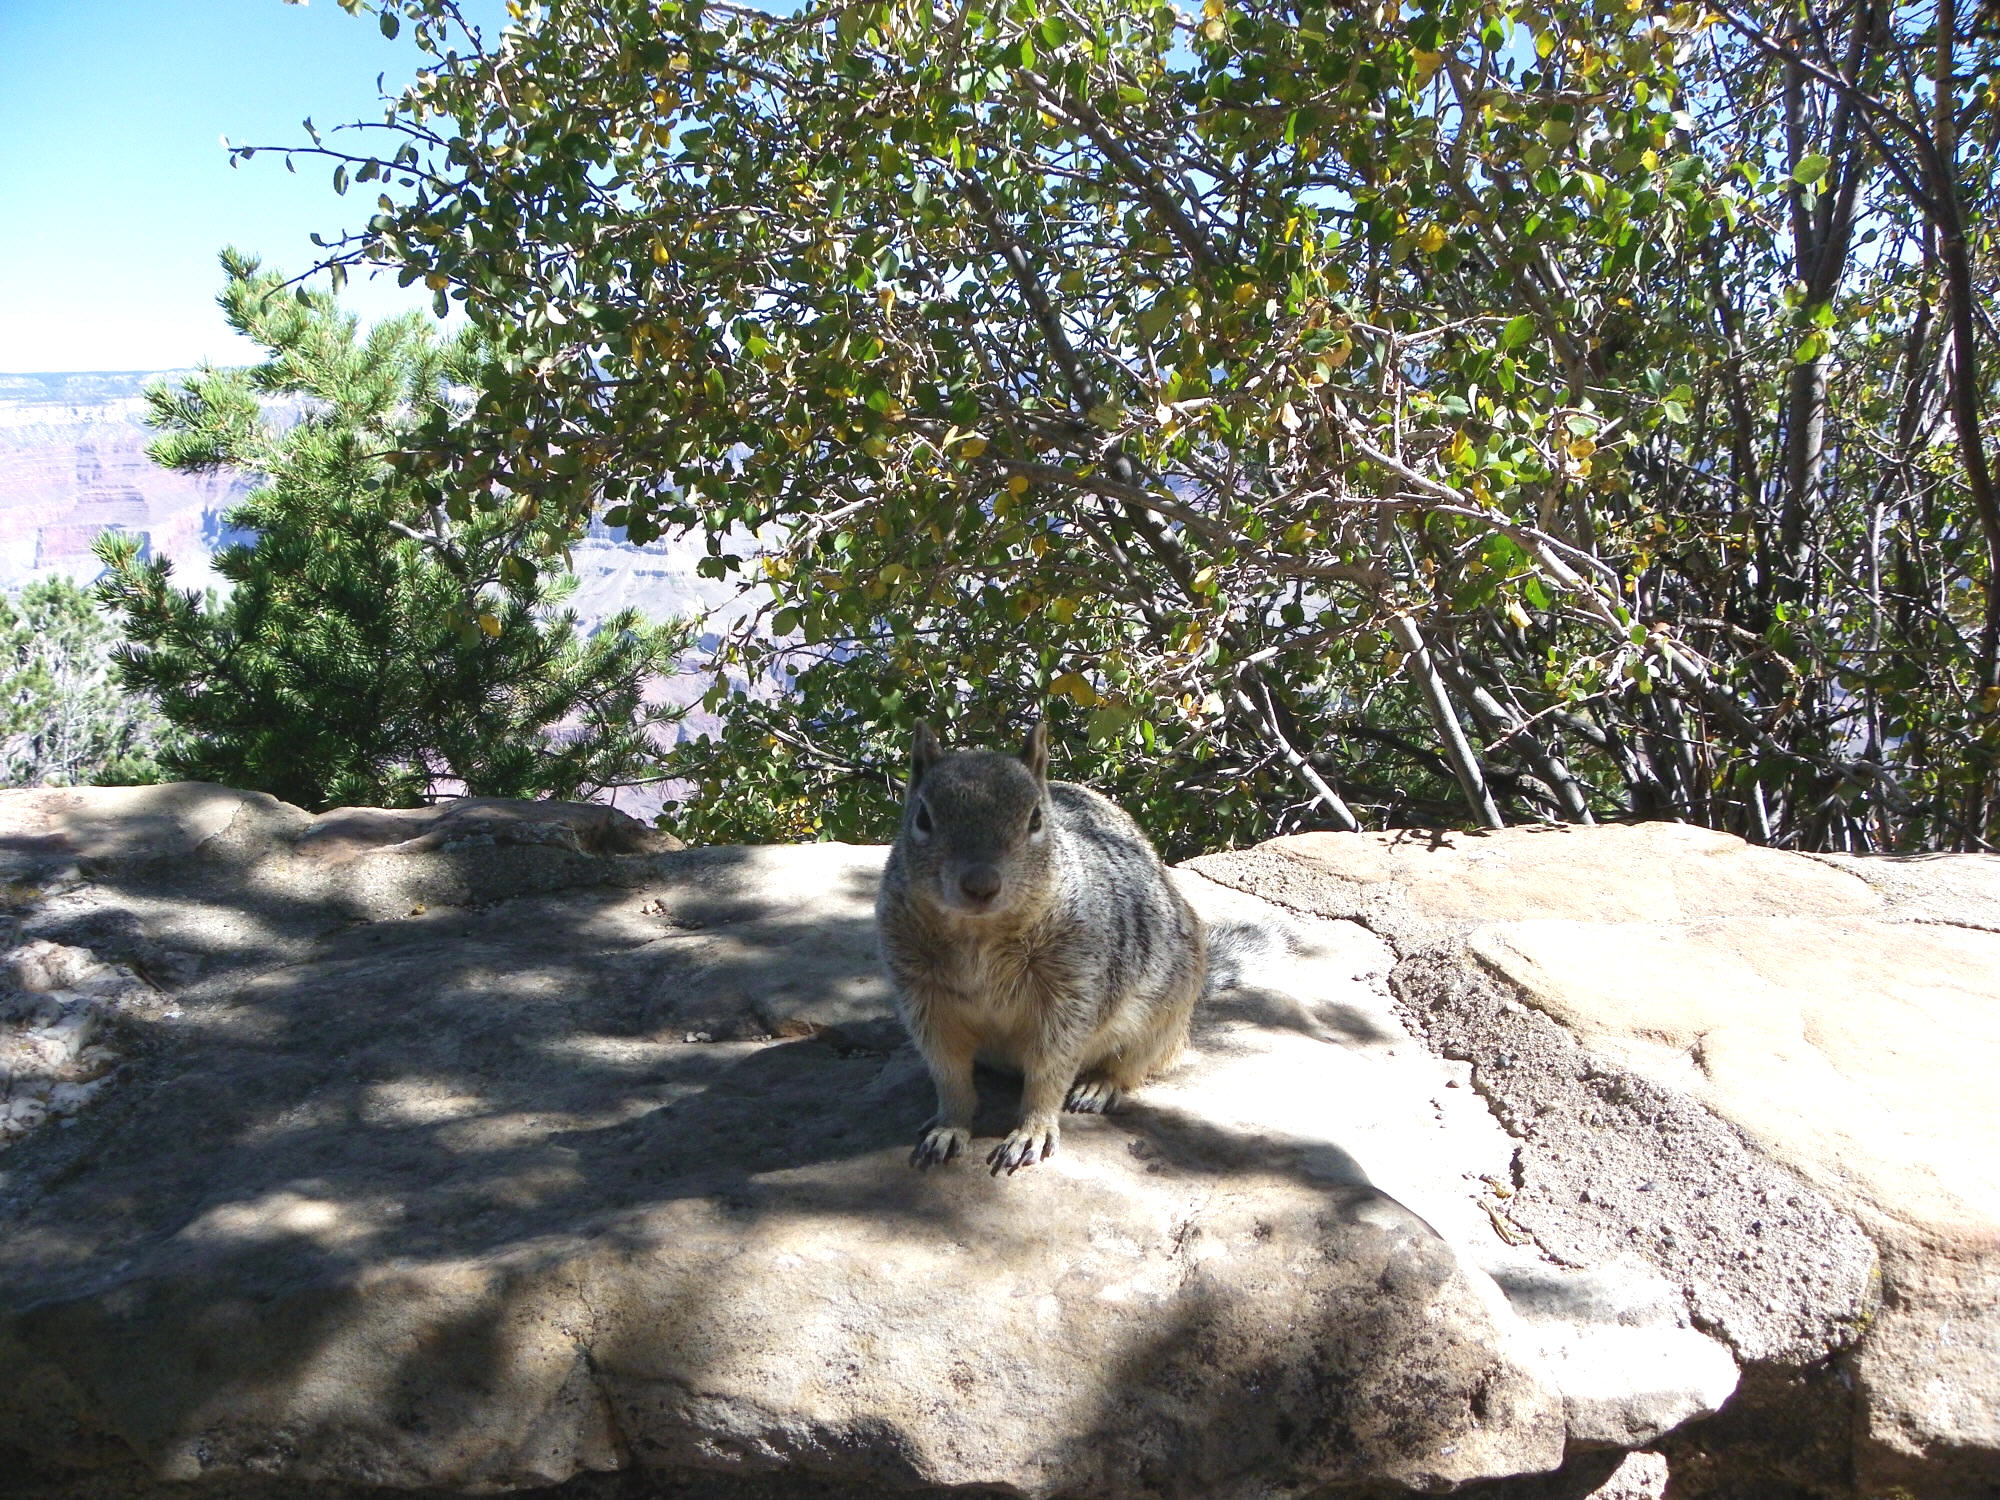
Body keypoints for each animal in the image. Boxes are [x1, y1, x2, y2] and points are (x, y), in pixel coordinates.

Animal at [876, 716, 1200, 1176]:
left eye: (1035, 820)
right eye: (922, 817)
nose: (980, 884)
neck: (980, 936)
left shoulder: (1071, 988)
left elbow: (1051, 1068)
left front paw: (1032, 1131)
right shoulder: (923, 997)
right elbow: (948, 1070)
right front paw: (948, 1127)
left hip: (1162, 1018)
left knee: (1132, 1064)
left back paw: (1099, 1085)